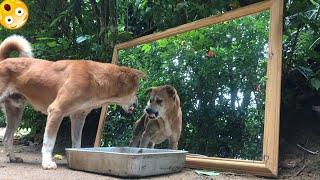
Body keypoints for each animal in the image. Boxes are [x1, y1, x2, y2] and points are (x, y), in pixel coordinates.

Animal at [0, 34, 145, 169]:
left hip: (15, 113)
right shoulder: (56, 111)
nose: (138, 104)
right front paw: (47, 163)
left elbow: (76, 142)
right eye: (136, 90)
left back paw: (13, 157)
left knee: (7, 137)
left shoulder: (78, 117)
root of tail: (3, 60)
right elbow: (49, 142)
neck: (93, 78)